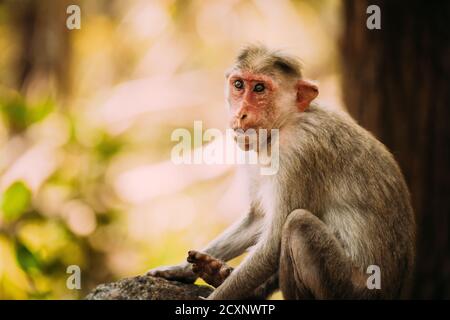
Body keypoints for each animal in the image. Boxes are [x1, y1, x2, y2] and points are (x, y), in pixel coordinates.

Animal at [149, 45, 416, 300]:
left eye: (259, 88)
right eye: (239, 85)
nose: (241, 113)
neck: (286, 122)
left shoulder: (298, 151)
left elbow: (274, 241)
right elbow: (258, 218)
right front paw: (179, 270)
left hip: (350, 288)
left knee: (298, 224)